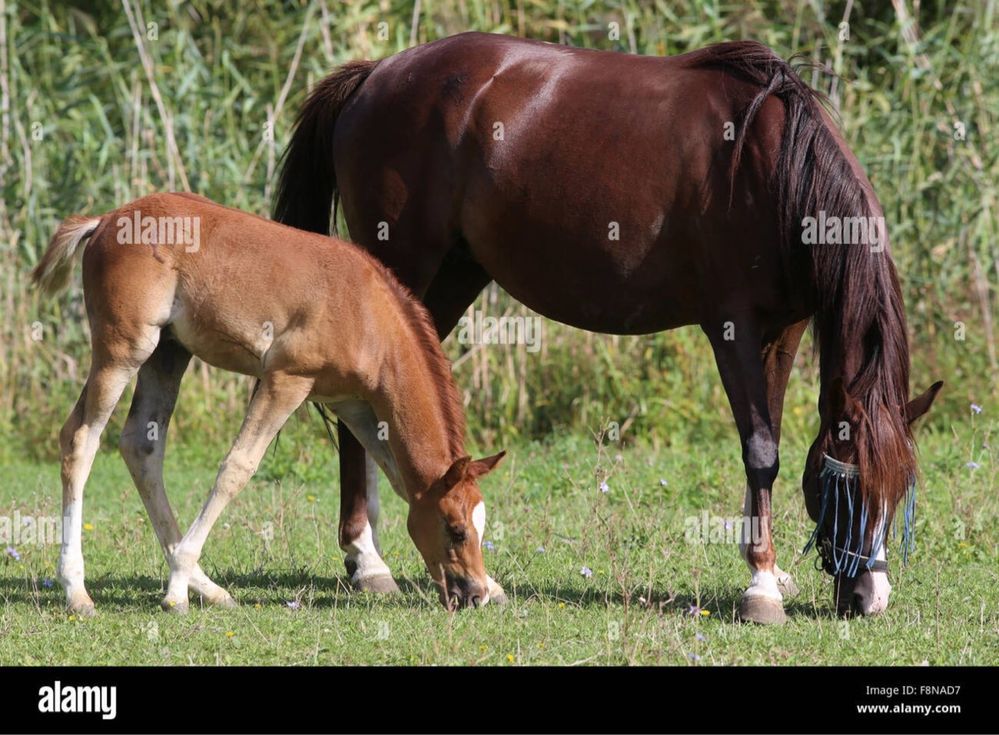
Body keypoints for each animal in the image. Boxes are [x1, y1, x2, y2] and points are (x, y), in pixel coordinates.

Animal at [34, 194, 504, 616]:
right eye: (456, 529)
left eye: (479, 525)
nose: (472, 595)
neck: (368, 313)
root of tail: (104, 220)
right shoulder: (286, 381)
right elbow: (236, 468)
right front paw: (174, 593)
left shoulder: (351, 404)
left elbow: (400, 480)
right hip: (125, 348)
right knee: (79, 438)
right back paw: (79, 593)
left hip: (168, 352)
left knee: (140, 447)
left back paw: (207, 588)